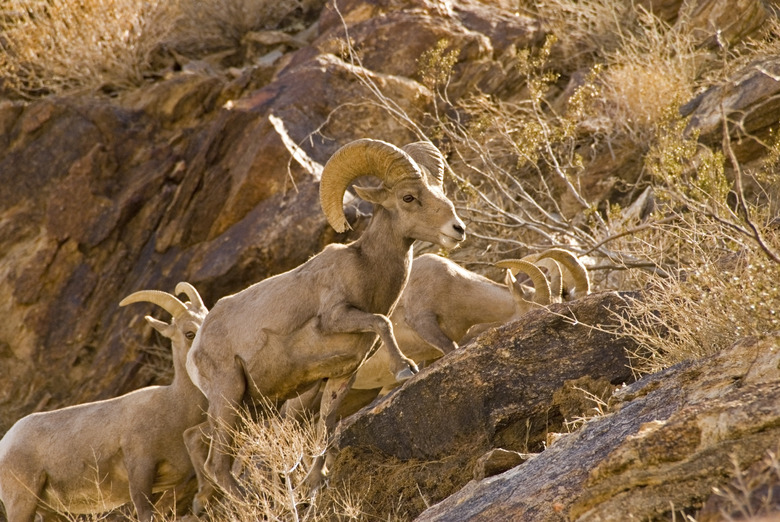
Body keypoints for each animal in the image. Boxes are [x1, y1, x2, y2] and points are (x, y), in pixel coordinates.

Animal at [0, 282, 209, 520]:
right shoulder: (141, 471)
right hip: (22, 503)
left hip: (49, 510)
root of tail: (5, 444)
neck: (174, 406)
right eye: (189, 333)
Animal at [184, 136, 464, 506]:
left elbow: (326, 428)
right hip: (228, 399)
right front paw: (405, 369)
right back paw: (261, 505)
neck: (366, 270)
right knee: (218, 466)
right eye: (408, 197)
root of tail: (195, 348)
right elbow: (382, 322)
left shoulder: (341, 375)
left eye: (440, 192)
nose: (457, 229)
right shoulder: (336, 317)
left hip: (253, 407)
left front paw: (313, 484)